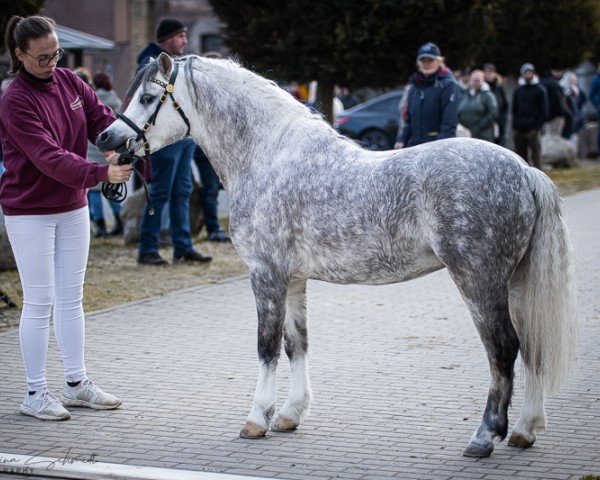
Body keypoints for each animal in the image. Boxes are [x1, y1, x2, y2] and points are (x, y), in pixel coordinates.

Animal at [96, 52, 580, 458]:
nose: (106, 137)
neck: (269, 157)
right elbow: (297, 343)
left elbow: (266, 347)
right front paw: (290, 415)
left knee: (503, 350)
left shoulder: (266, 275)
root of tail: (523, 170)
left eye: (149, 97)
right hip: (513, 282)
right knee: (531, 345)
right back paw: (525, 430)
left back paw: (484, 436)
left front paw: (256, 419)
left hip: (478, 281)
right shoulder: (293, 279)